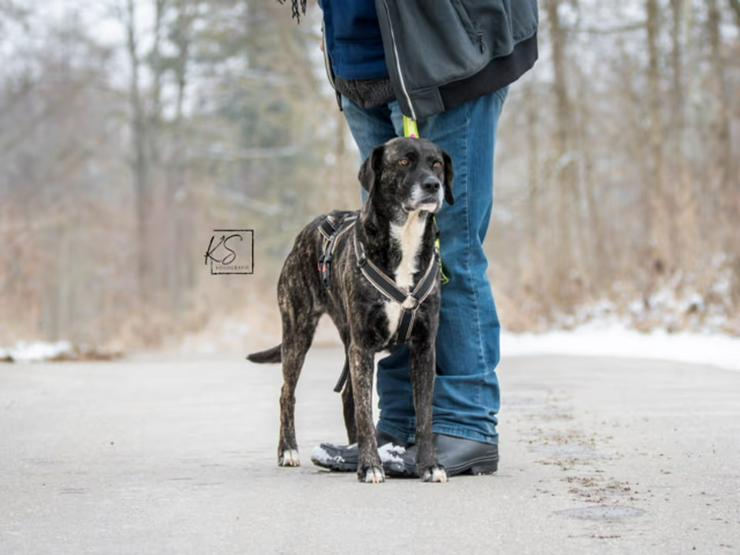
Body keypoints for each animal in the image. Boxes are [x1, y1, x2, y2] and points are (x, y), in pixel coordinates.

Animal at [249, 138, 454, 482]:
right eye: (403, 162)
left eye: (436, 164)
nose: (432, 186)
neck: (406, 235)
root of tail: (310, 228)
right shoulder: (363, 347)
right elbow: (364, 410)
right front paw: (371, 465)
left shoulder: (424, 347)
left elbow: (424, 414)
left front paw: (429, 465)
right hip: (298, 332)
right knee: (287, 392)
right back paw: (288, 450)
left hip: (346, 341)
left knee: (346, 394)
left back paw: (350, 450)